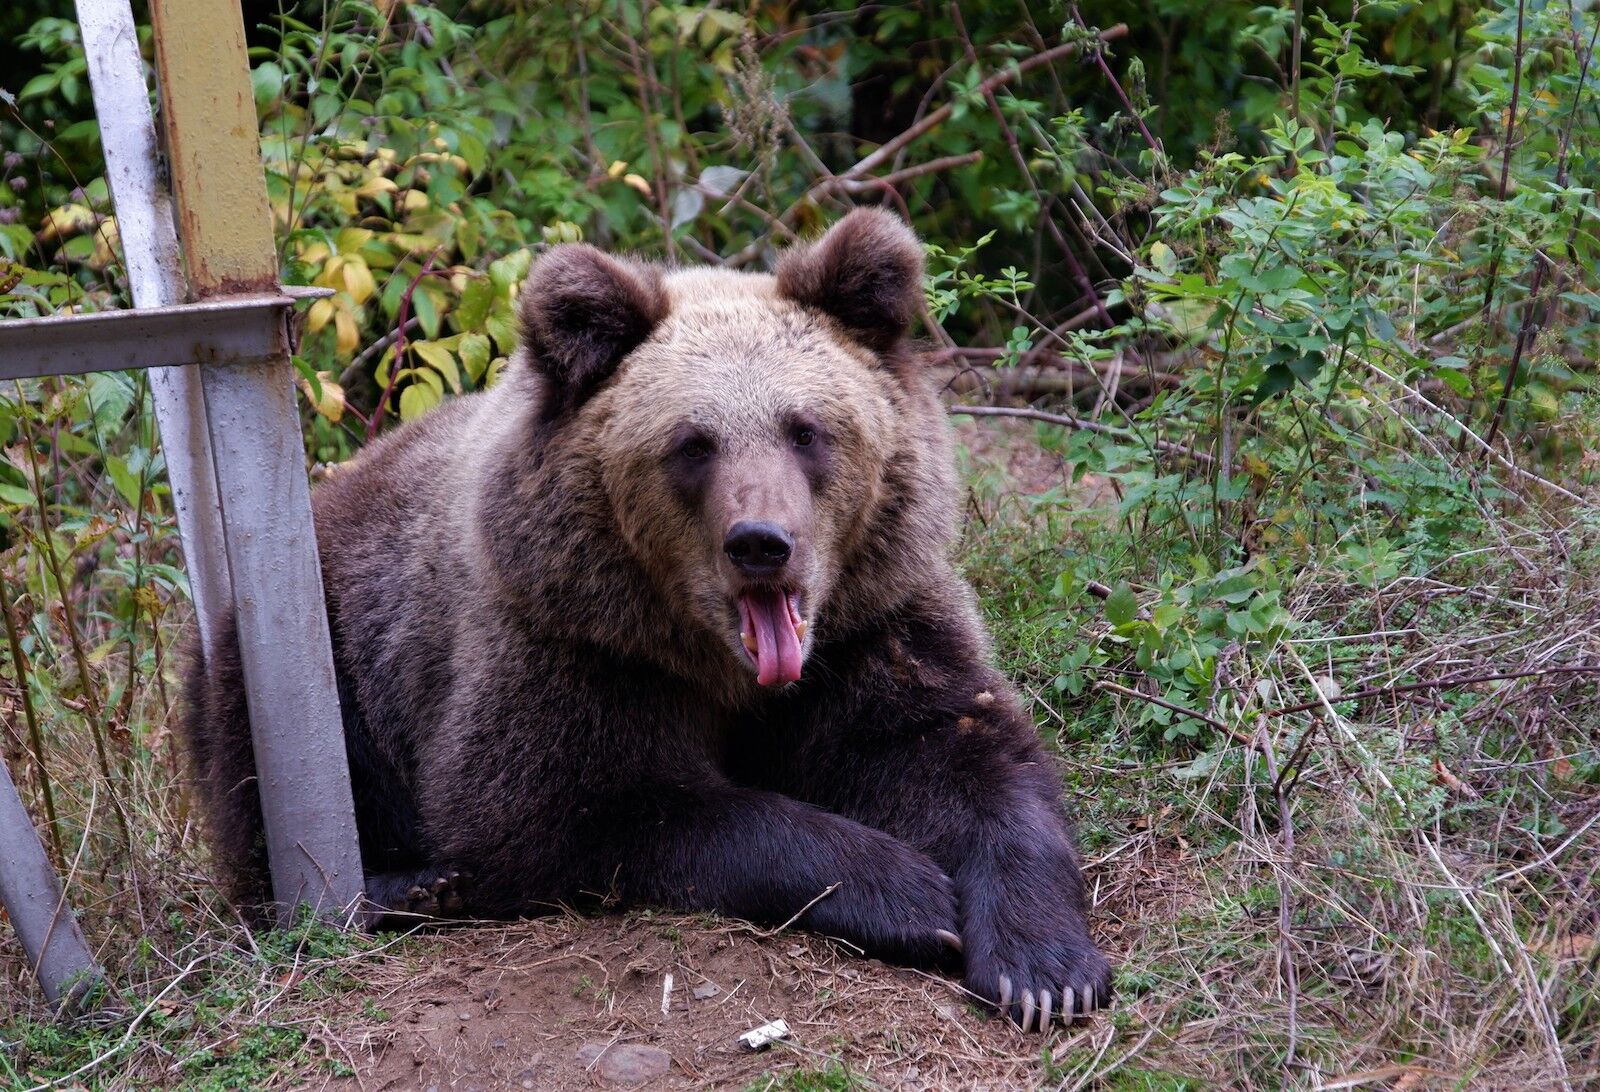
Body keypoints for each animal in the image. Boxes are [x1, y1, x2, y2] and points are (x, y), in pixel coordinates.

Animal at [181, 208, 1113, 1024]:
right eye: (693, 443)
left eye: (806, 429)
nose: (761, 543)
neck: (717, 664)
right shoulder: (567, 648)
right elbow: (584, 809)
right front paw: (908, 891)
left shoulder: (870, 623)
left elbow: (954, 747)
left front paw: (1046, 969)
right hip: (324, 629)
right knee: (272, 759)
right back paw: (409, 886)